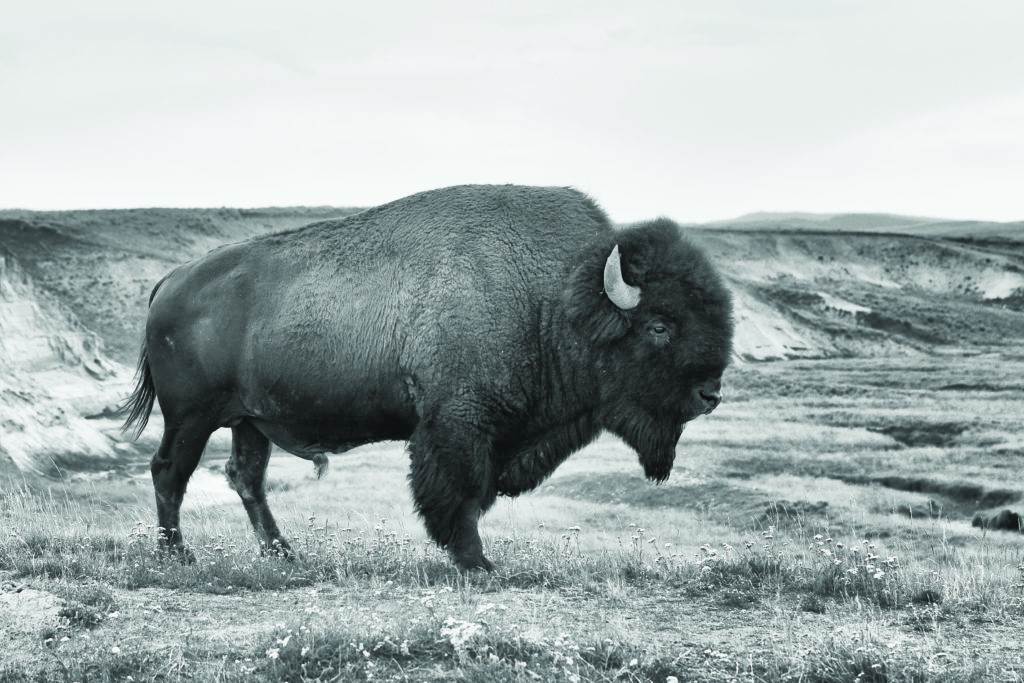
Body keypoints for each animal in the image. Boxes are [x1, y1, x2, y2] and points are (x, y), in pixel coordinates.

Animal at [123, 184, 733, 569]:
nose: (710, 394)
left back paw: (283, 553)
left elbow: (475, 494)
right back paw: (178, 555)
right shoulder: (456, 425)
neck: (555, 297)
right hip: (191, 417)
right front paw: (475, 562)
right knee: (169, 471)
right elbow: (459, 494)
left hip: (250, 421)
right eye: (659, 325)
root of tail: (171, 281)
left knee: (246, 477)